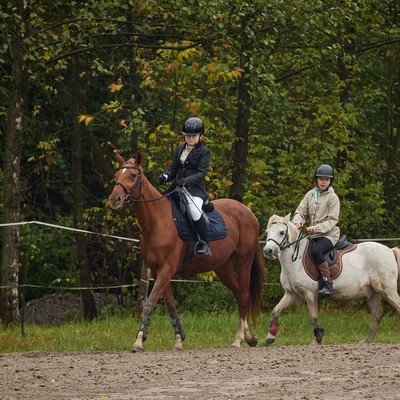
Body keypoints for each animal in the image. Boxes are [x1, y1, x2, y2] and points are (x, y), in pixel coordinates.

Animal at [108, 152, 266, 352]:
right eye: (116, 175)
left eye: (133, 176)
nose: (114, 199)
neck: (158, 221)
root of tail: (248, 211)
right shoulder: (160, 272)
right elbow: (170, 306)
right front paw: (178, 340)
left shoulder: (166, 270)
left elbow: (150, 303)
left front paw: (139, 341)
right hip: (223, 266)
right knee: (239, 294)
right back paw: (249, 337)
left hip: (243, 259)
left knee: (244, 296)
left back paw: (238, 340)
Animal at [262, 214, 400, 346]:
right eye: (267, 232)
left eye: (281, 232)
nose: (268, 251)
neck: (295, 261)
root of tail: (390, 250)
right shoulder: (292, 294)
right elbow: (276, 310)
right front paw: (269, 337)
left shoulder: (310, 294)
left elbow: (314, 318)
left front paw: (317, 340)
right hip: (372, 293)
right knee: (377, 314)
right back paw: (366, 341)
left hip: (387, 290)